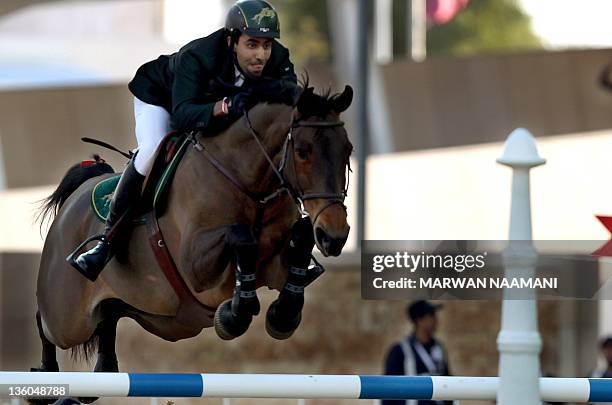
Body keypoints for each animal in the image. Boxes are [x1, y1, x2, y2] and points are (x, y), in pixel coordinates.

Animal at [32, 84, 354, 382]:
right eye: (302, 152)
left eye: (348, 150)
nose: (335, 236)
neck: (248, 183)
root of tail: (76, 197)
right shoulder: (196, 267)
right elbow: (241, 236)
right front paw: (233, 315)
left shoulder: (275, 267)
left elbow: (300, 239)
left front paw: (282, 316)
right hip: (68, 319)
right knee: (46, 322)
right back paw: (46, 369)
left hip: (157, 316)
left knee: (109, 315)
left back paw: (105, 367)